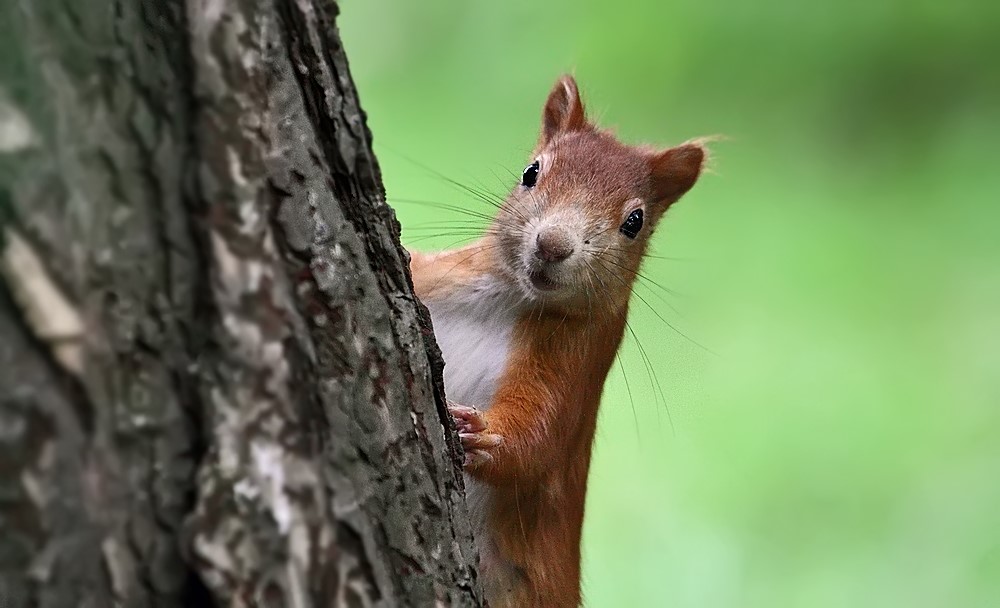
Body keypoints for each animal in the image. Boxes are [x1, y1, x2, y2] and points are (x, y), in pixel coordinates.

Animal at [406, 73, 704, 604]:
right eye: (531, 172)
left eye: (635, 222)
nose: (553, 244)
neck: (506, 298)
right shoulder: (434, 277)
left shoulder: (576, 359)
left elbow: (539, 437)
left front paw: (482, 434)